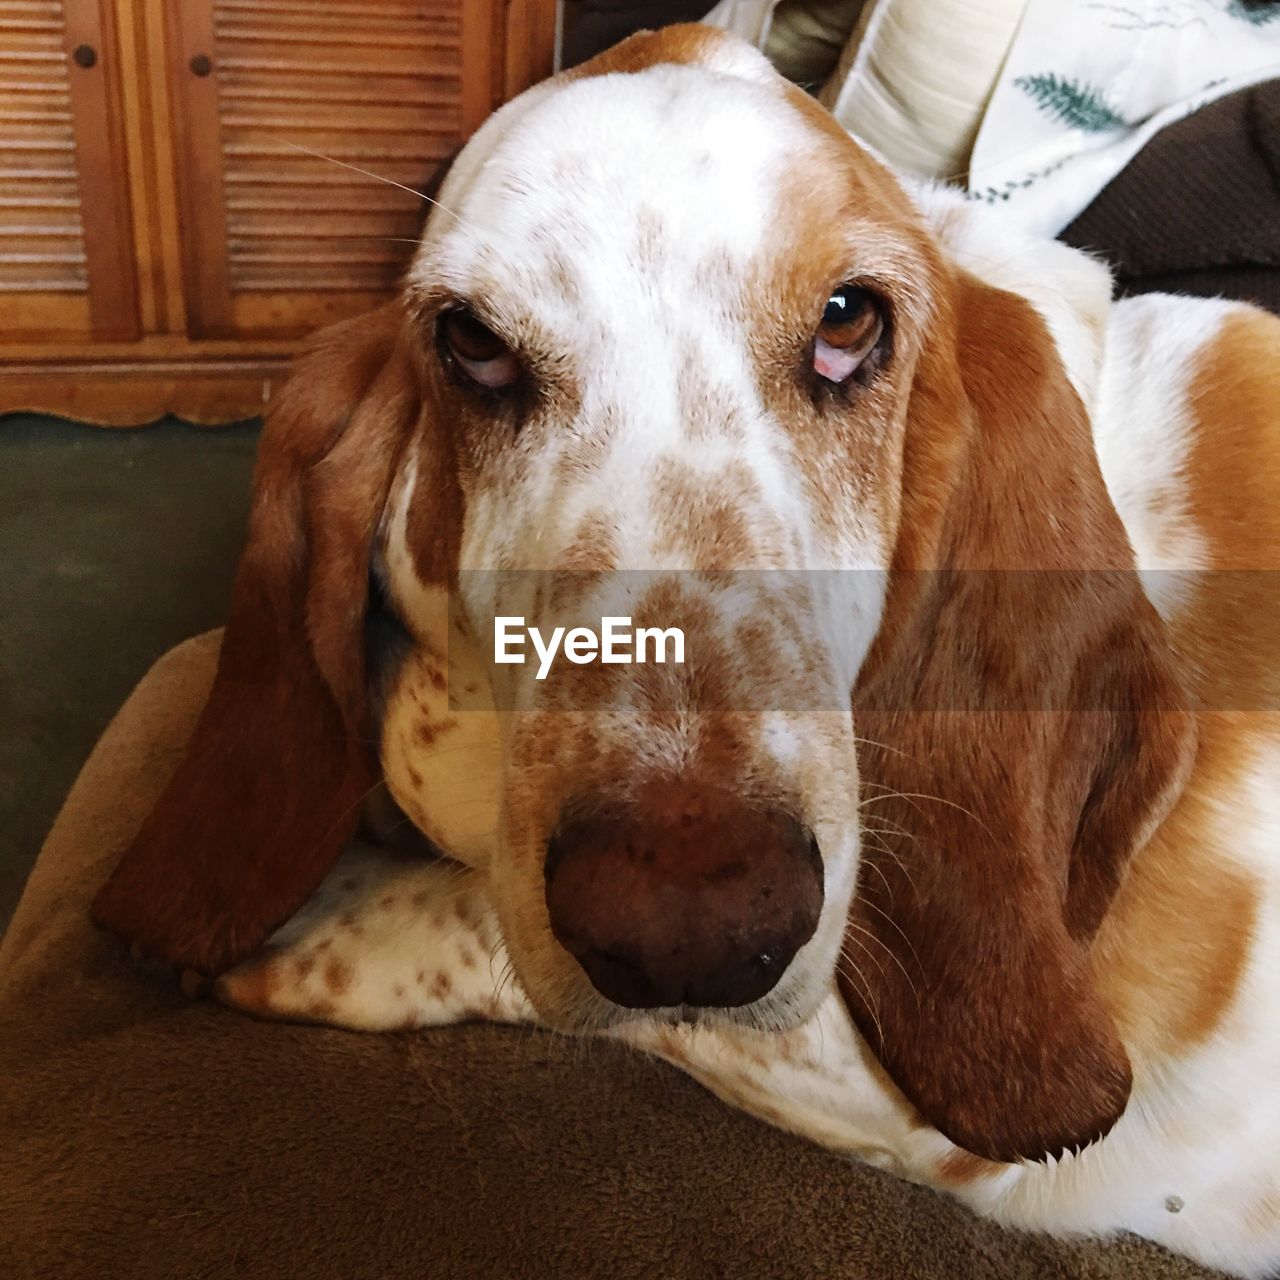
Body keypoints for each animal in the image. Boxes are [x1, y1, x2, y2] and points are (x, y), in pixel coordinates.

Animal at [92, 24, 1280, 1274]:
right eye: (472, 343)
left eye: (848, 321)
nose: (689, 931)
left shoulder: (899, 1094)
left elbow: (471, 917)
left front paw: (322, 921)